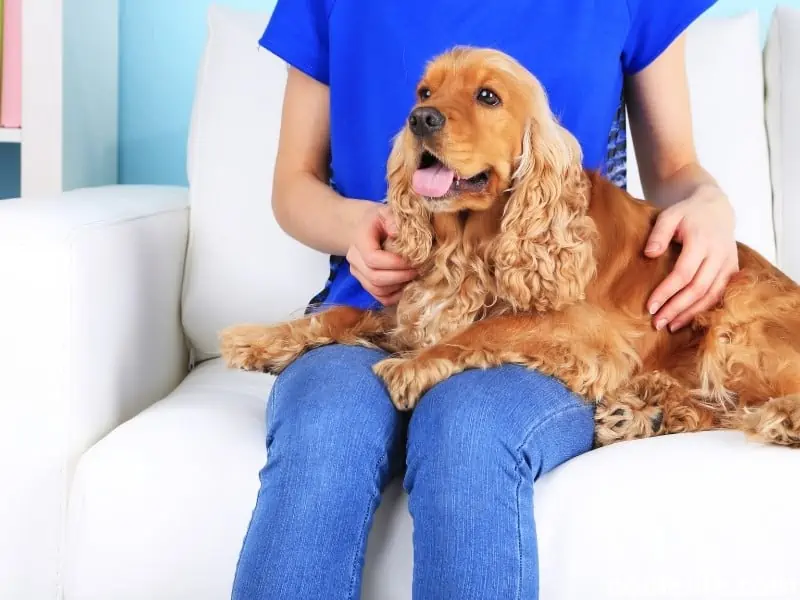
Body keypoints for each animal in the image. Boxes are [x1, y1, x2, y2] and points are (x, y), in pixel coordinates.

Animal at [222, 47, 800, 448]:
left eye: (488, 97)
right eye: (424, 92)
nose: (420, 120)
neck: (469, 244)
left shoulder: (588, 333)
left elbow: (489, 328)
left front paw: (411, 367)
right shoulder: (418, 309)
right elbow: (342, 313)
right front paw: (262, 339)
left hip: (734, 327)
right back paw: (647, 412)